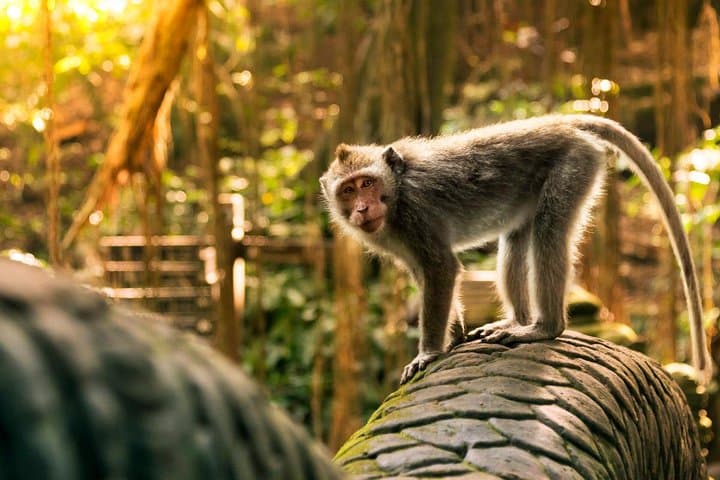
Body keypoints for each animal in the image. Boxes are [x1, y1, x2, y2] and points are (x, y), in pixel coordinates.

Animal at [320, 114, 713, 385]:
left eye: (367, 183)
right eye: (348, 191)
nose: (362, 209)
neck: (397, 191)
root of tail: (560, 122)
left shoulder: (415, 214)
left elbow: (441, 269)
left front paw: (428, 352)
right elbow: (426, 273)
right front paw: (456, 333)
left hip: (574, 164)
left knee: (549, 234)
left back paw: (544, 328)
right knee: (515, 239)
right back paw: (518, 321)